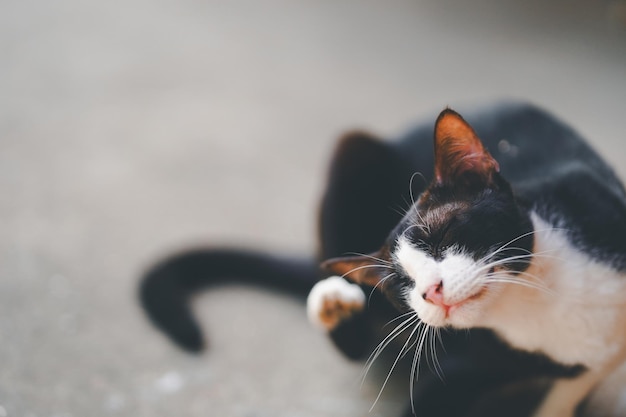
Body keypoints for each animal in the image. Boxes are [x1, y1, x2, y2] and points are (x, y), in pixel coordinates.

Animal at [138, 101, 624, 416]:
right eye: (401, 286)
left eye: (443, 235)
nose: (431, 291)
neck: (542, 306)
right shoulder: (460, 365)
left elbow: (562, 398)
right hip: (350, 150)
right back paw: (334, 303)